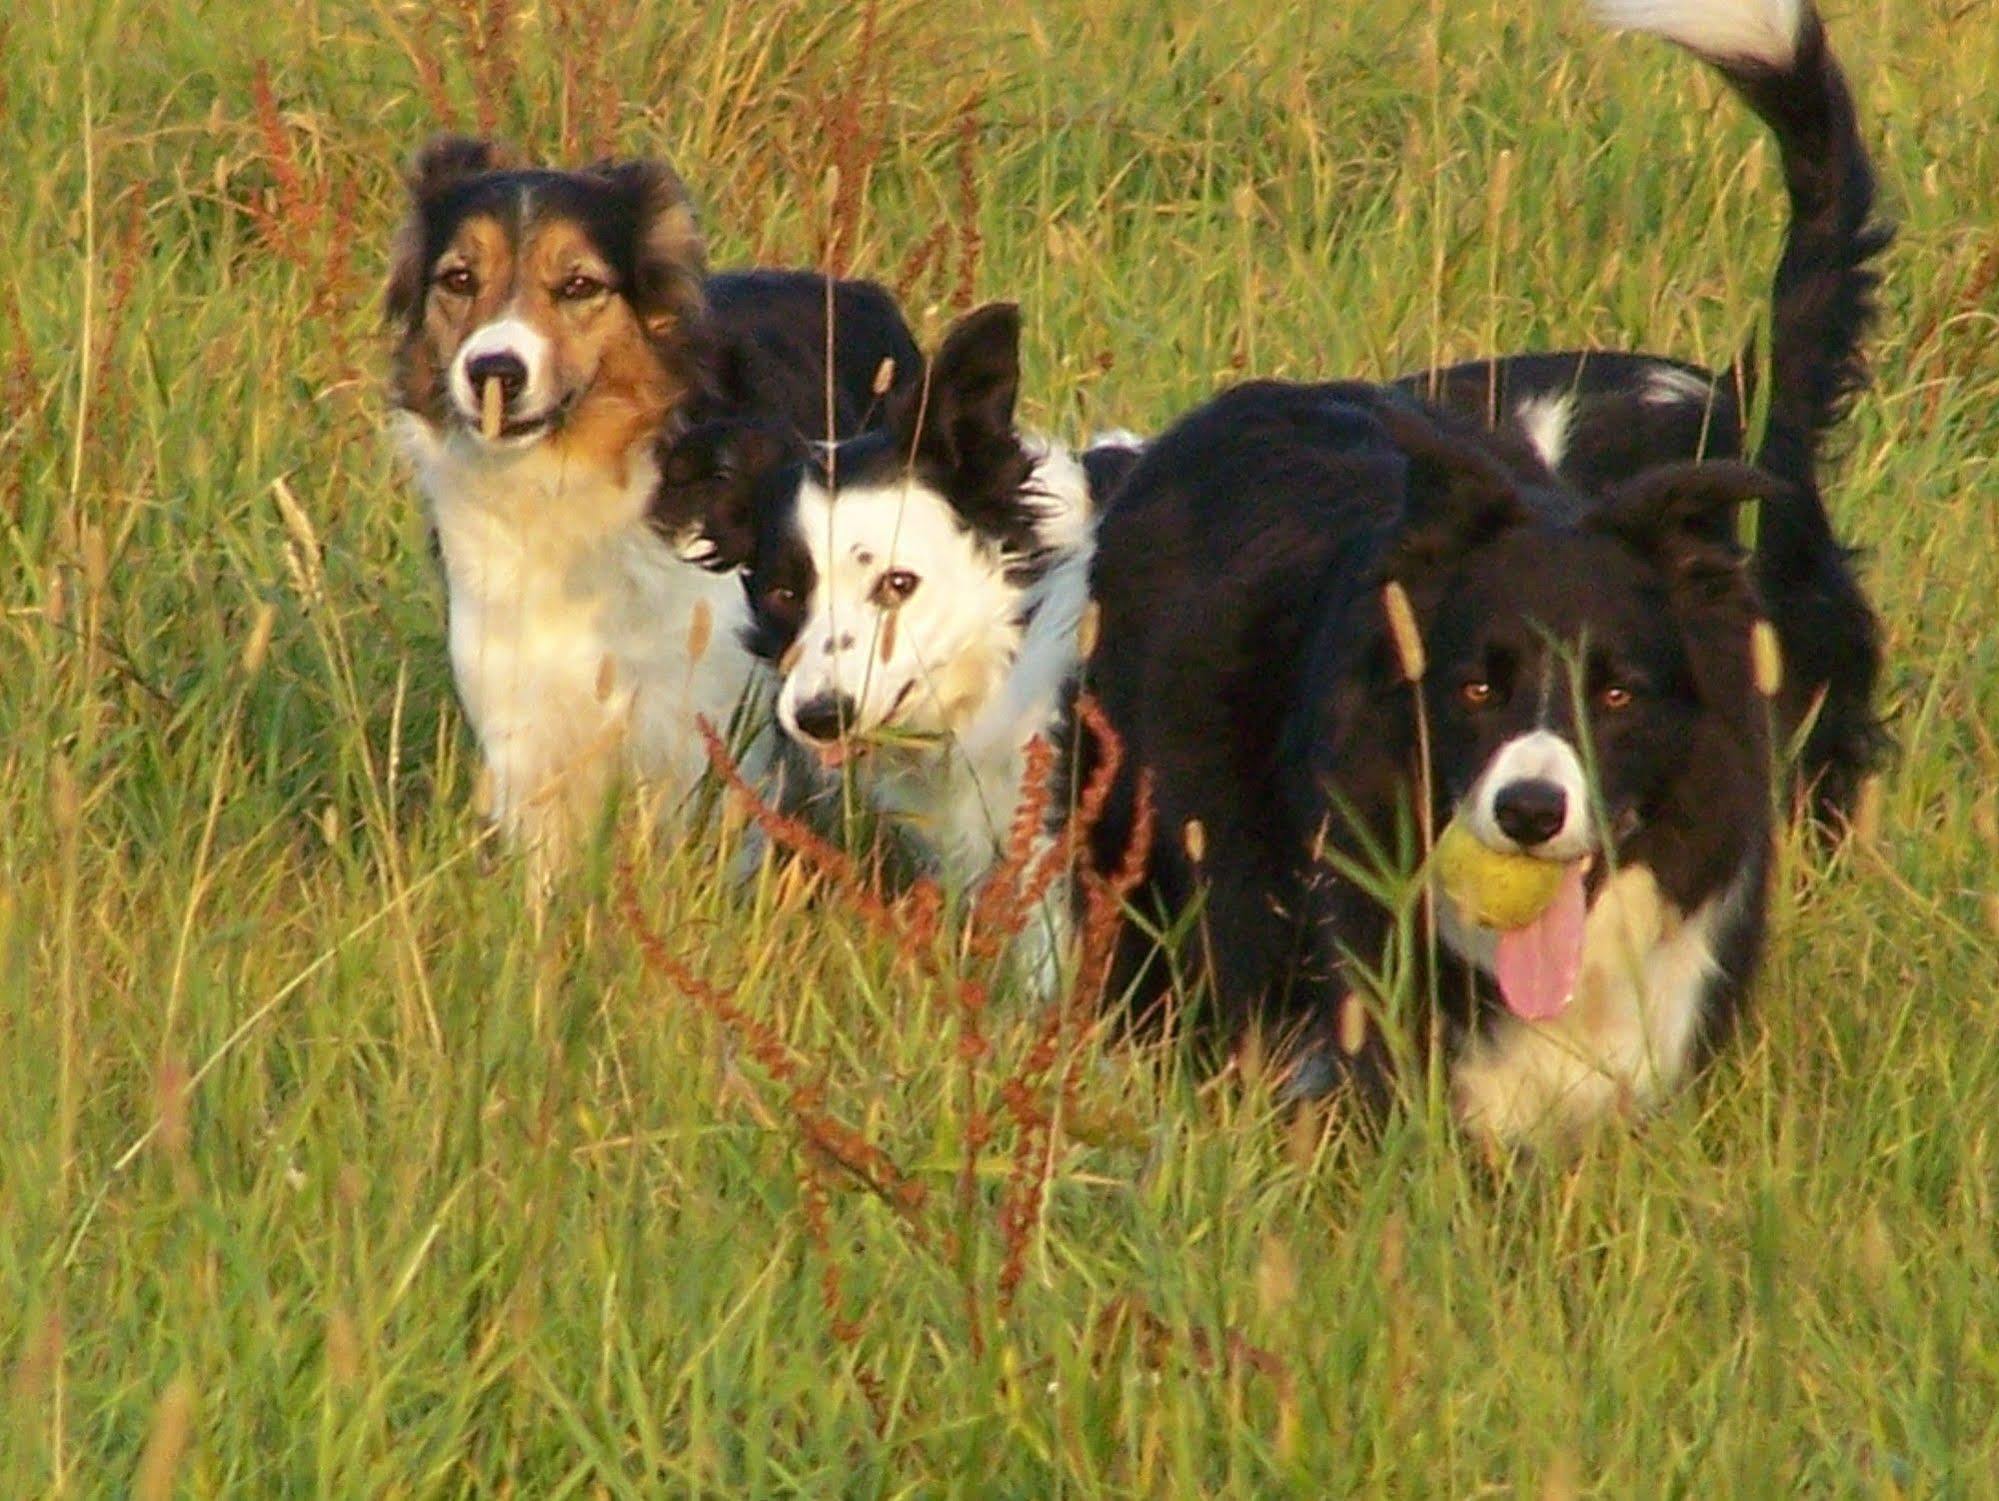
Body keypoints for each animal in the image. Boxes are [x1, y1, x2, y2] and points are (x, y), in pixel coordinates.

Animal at [383, 140, 919, 875]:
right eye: (459, 279)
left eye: (579, 286)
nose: (493, 370)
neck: (565, 487)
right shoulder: (528, 736)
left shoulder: (708, 731)